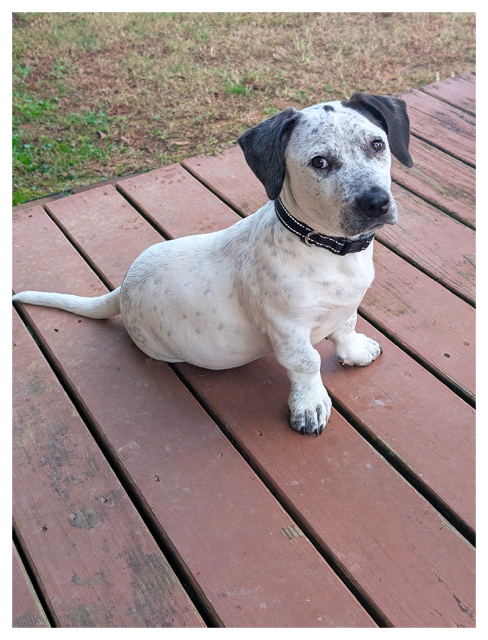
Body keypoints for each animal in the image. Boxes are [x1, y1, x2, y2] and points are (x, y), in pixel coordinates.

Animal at [12, 94, 412, 436]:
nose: (376, 203)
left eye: (377, 144)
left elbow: (345, 328)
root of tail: (122, 288)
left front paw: (354, 352)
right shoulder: (289, 331)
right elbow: (307, 363)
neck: (327, 248)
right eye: (320, 162)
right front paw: (310, 405)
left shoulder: (345, 306)